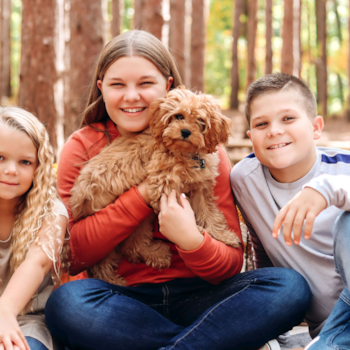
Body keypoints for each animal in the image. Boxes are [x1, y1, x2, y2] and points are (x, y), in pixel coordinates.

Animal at [70, 87, 241, 284]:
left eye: (201, 121)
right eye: (178, 116)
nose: (185, 131)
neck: (185, 153)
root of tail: (77, 201)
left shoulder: (200, 189)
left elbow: (211, 216)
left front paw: (223, 236)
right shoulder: (163, 185)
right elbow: (185, 219)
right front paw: (196, 233)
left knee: (131, 247)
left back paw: (157, 256)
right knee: (108, 259)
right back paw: (118, 279)